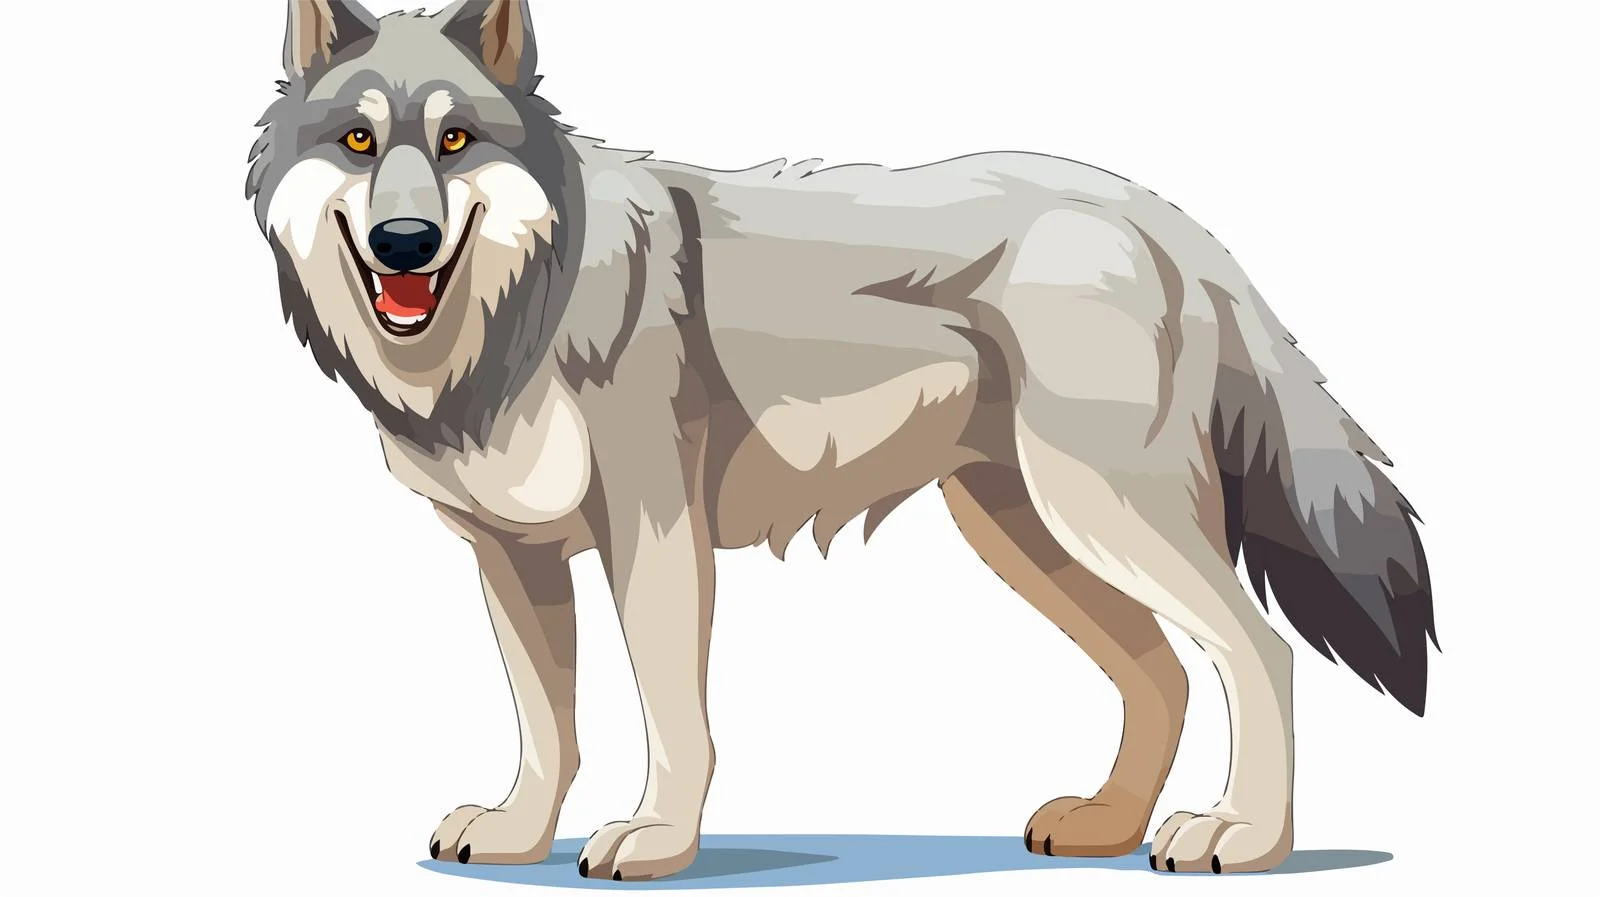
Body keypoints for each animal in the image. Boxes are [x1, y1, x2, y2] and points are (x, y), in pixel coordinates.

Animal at [247, 0, 1437, 880]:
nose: (407, 240)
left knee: (1257, 650)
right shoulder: (510, 558)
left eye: (455, 141)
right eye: (358, 141)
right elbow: (548, 723)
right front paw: (518, 834)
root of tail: (1160, 215)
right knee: (1163, 673)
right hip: (1031, 535)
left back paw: (1244, 835)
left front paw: (658, 841)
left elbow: (671, 713)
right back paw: (1108, 822)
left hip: (1095, 514)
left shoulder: (653, 536)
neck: (514, 316)